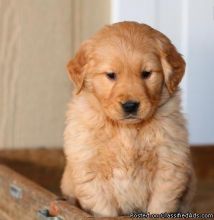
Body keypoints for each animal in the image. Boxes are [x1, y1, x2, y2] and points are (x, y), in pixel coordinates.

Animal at [60, 21, 196, 217]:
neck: (127, 130)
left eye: (146, 73)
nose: (130, 106)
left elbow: (160, 206)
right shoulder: (90, 170)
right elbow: (104, 210)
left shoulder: (169, 166)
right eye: (111, 75)